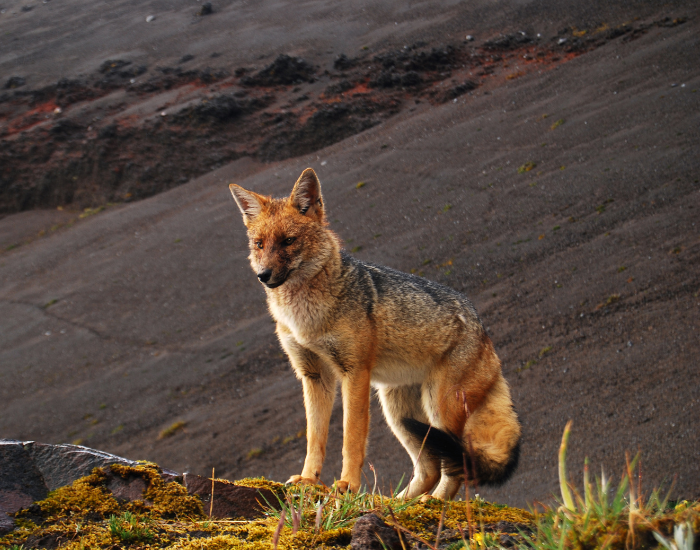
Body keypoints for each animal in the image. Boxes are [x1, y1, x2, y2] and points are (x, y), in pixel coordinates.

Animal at [229, 168, 521, 499]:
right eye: (259, 244)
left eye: (289, 241)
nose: (262, 276)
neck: (306, 318)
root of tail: (482, 327)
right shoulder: (314, 376)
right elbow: (315, 438)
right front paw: (308, 480)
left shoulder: (354, 372)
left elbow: (352, 438)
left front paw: (348, 485)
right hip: (399, 414)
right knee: (429, 469)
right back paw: (401, 503)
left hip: (438, 408)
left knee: (456, 466)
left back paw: (433, 503)